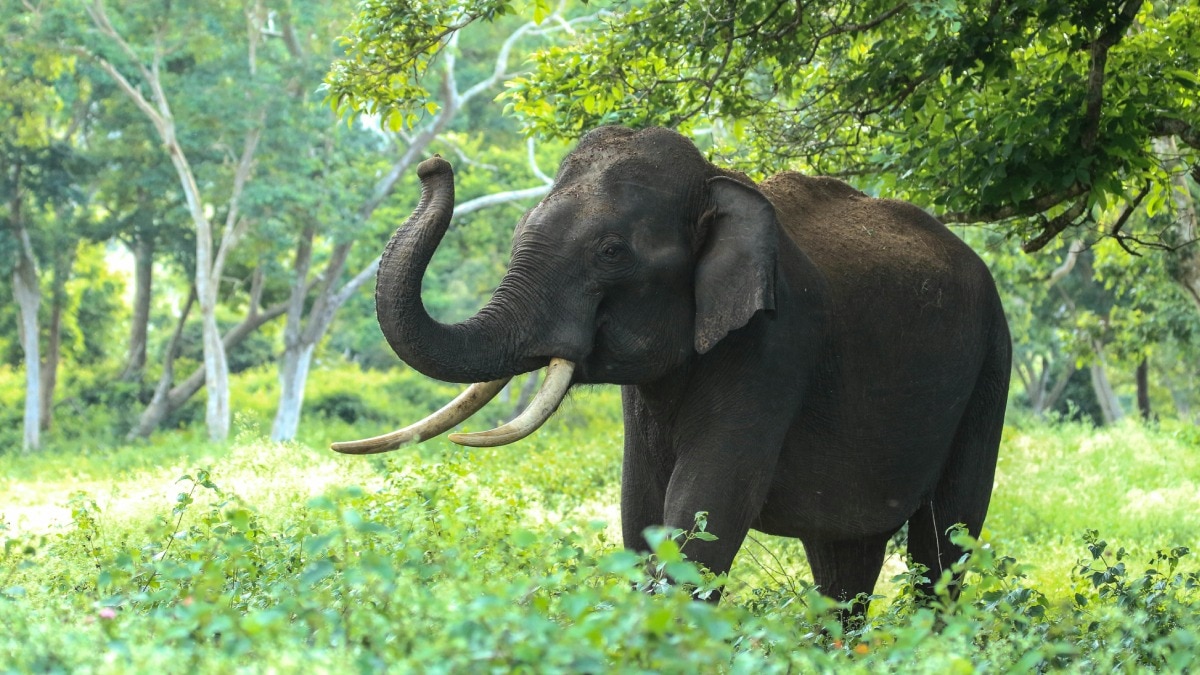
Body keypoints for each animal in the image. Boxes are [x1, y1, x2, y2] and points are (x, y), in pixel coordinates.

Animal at [333, 126, 1011, 615]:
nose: (432, 165)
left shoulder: (774, 344)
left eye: (610, 252)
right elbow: (642, 509)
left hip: (991, 364)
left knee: (945, 541)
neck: (716, 181)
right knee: (844, 559)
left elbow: (704, 510)